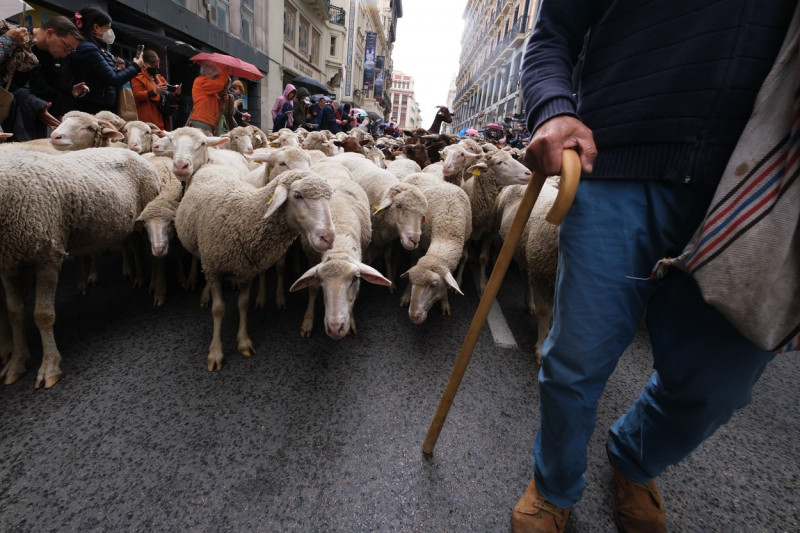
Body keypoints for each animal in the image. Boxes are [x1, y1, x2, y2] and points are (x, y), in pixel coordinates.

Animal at [0, 147, 161, 386]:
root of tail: (132, 152)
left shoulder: (48, 256)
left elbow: (43, 315)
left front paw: (49, 366)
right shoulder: (8, 263)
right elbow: (14, 313)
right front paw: (16, 363)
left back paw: (157, 287)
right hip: (131, 222)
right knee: (134, 243)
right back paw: (141, 277)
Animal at [175, 166, 334, 370]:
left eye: (330, 197)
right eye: (297, 195)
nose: (328, 238)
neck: (244, 216)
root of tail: (213, 165)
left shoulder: (246, 271)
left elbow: (243, 304)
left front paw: (243, 342)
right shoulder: (214, 268)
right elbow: (218, 309)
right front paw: (215, 353)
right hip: (200, 250)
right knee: (198, 260)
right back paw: (203, 292)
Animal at [290, 160, 390, 338]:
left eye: (355, 278)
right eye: (320, 280)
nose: (335, 328)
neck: (339, 245)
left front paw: (351, 321)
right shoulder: (312, 258)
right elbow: (312, 289)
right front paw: (308, 320)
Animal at [398, 172, 472, 322]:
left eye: (434, 285)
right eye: (411, 281)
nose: (413, 316)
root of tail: (419, 172)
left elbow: (463, 260)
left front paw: (445, 300)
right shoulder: (420, 246)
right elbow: (413, 263)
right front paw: (407, 294)